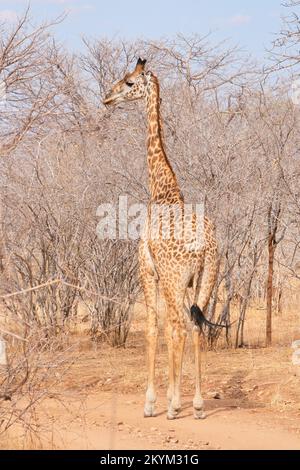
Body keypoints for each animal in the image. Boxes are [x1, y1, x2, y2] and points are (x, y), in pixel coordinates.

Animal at [103, 57, 223, 418]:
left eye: (129, 82)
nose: (107, 98)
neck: (162, 190)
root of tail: (204, 246)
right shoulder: (184, 281)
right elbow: (172, 327)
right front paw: (175, 397)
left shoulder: (147, 269)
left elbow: (154, 328)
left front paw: (153, 401)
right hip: (207, 277)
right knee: (195, 324)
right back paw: (197, 405)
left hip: (172, 277)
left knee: (178, 325)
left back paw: (172, 407)